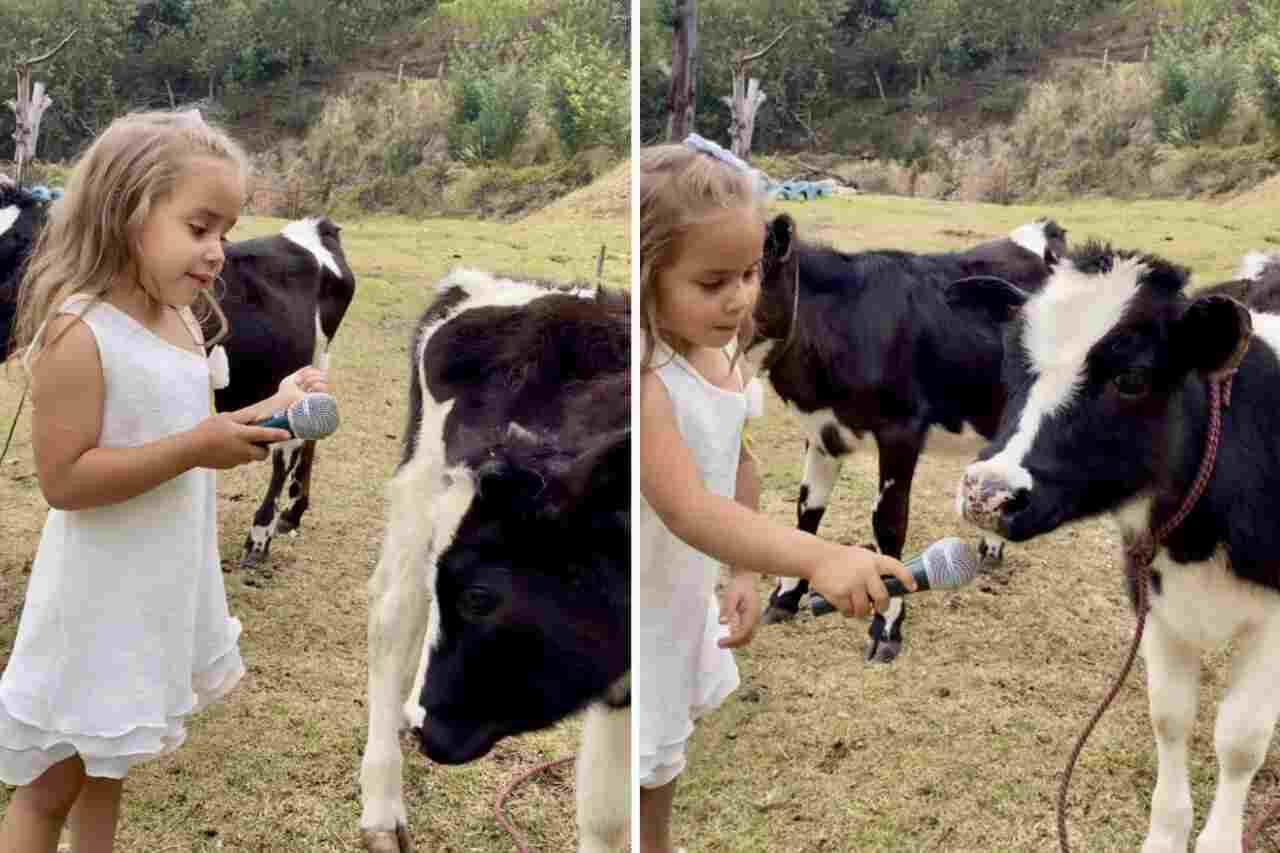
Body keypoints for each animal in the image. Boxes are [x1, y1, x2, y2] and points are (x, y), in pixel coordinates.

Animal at [747, 213, 1070, 655]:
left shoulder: (901, 429)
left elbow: (888, 523)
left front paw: (887, 625)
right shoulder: (823, 430)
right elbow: (806, 512)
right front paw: (785, 598)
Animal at [957, 239, 1280, 850]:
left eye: (1132, 378)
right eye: (1012, 361)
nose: (988, 493)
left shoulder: (1275, 623)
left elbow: (1240, 739)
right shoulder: (1153, 596)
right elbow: (1170, 717)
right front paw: (1165, 835)